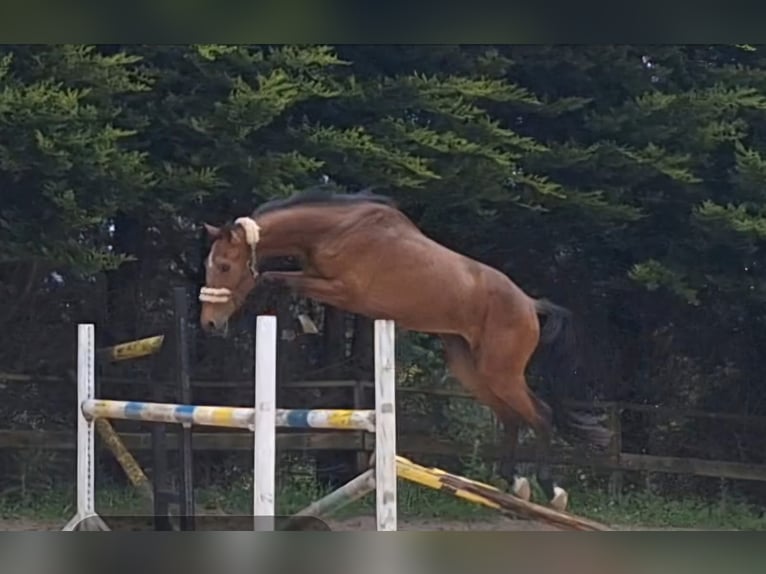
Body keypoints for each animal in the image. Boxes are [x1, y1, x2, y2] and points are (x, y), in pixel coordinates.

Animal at [198, 186, 611, 510]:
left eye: (224, 266)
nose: (209, 324)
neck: (335, 230)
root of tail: (529, 303)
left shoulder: (344, 290)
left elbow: (274, 278)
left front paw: (302, 320)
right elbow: (281, 280)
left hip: (500, 369)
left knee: (540, 414)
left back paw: (551, 490)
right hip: (470, 367)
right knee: (511, 417)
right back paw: (513, 484)